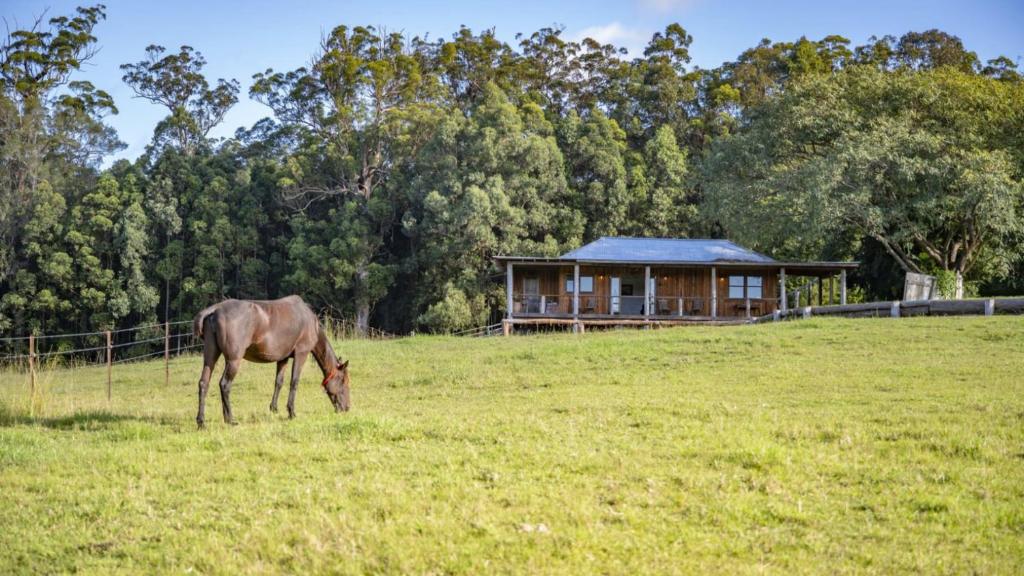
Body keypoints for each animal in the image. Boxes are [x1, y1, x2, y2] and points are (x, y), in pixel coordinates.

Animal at [192, 295, 350, 428]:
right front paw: (291, 412)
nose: (347, 408)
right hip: (233, 360)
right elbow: (294, 382)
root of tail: (215, 310)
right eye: (343, 381)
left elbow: (278, 382)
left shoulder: (283, 358)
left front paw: (274, 409)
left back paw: (202, 422)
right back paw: (230, 419)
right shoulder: (301, 354)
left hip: (211, 357)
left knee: (204, 383)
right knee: (225, 385)